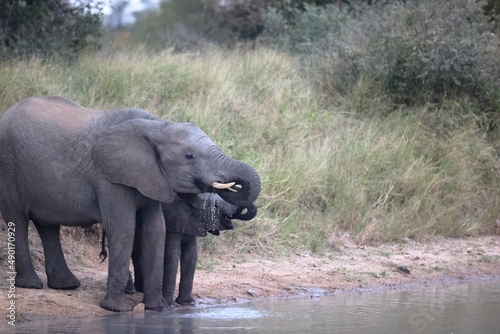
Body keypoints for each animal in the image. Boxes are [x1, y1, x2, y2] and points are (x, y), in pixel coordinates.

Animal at [130, 192, 258, 306]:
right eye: (215, 206)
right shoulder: (172, 223)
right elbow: (173, 255)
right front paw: (170, 305)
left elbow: (191, 255)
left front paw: (188, 304)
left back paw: (140, 289)